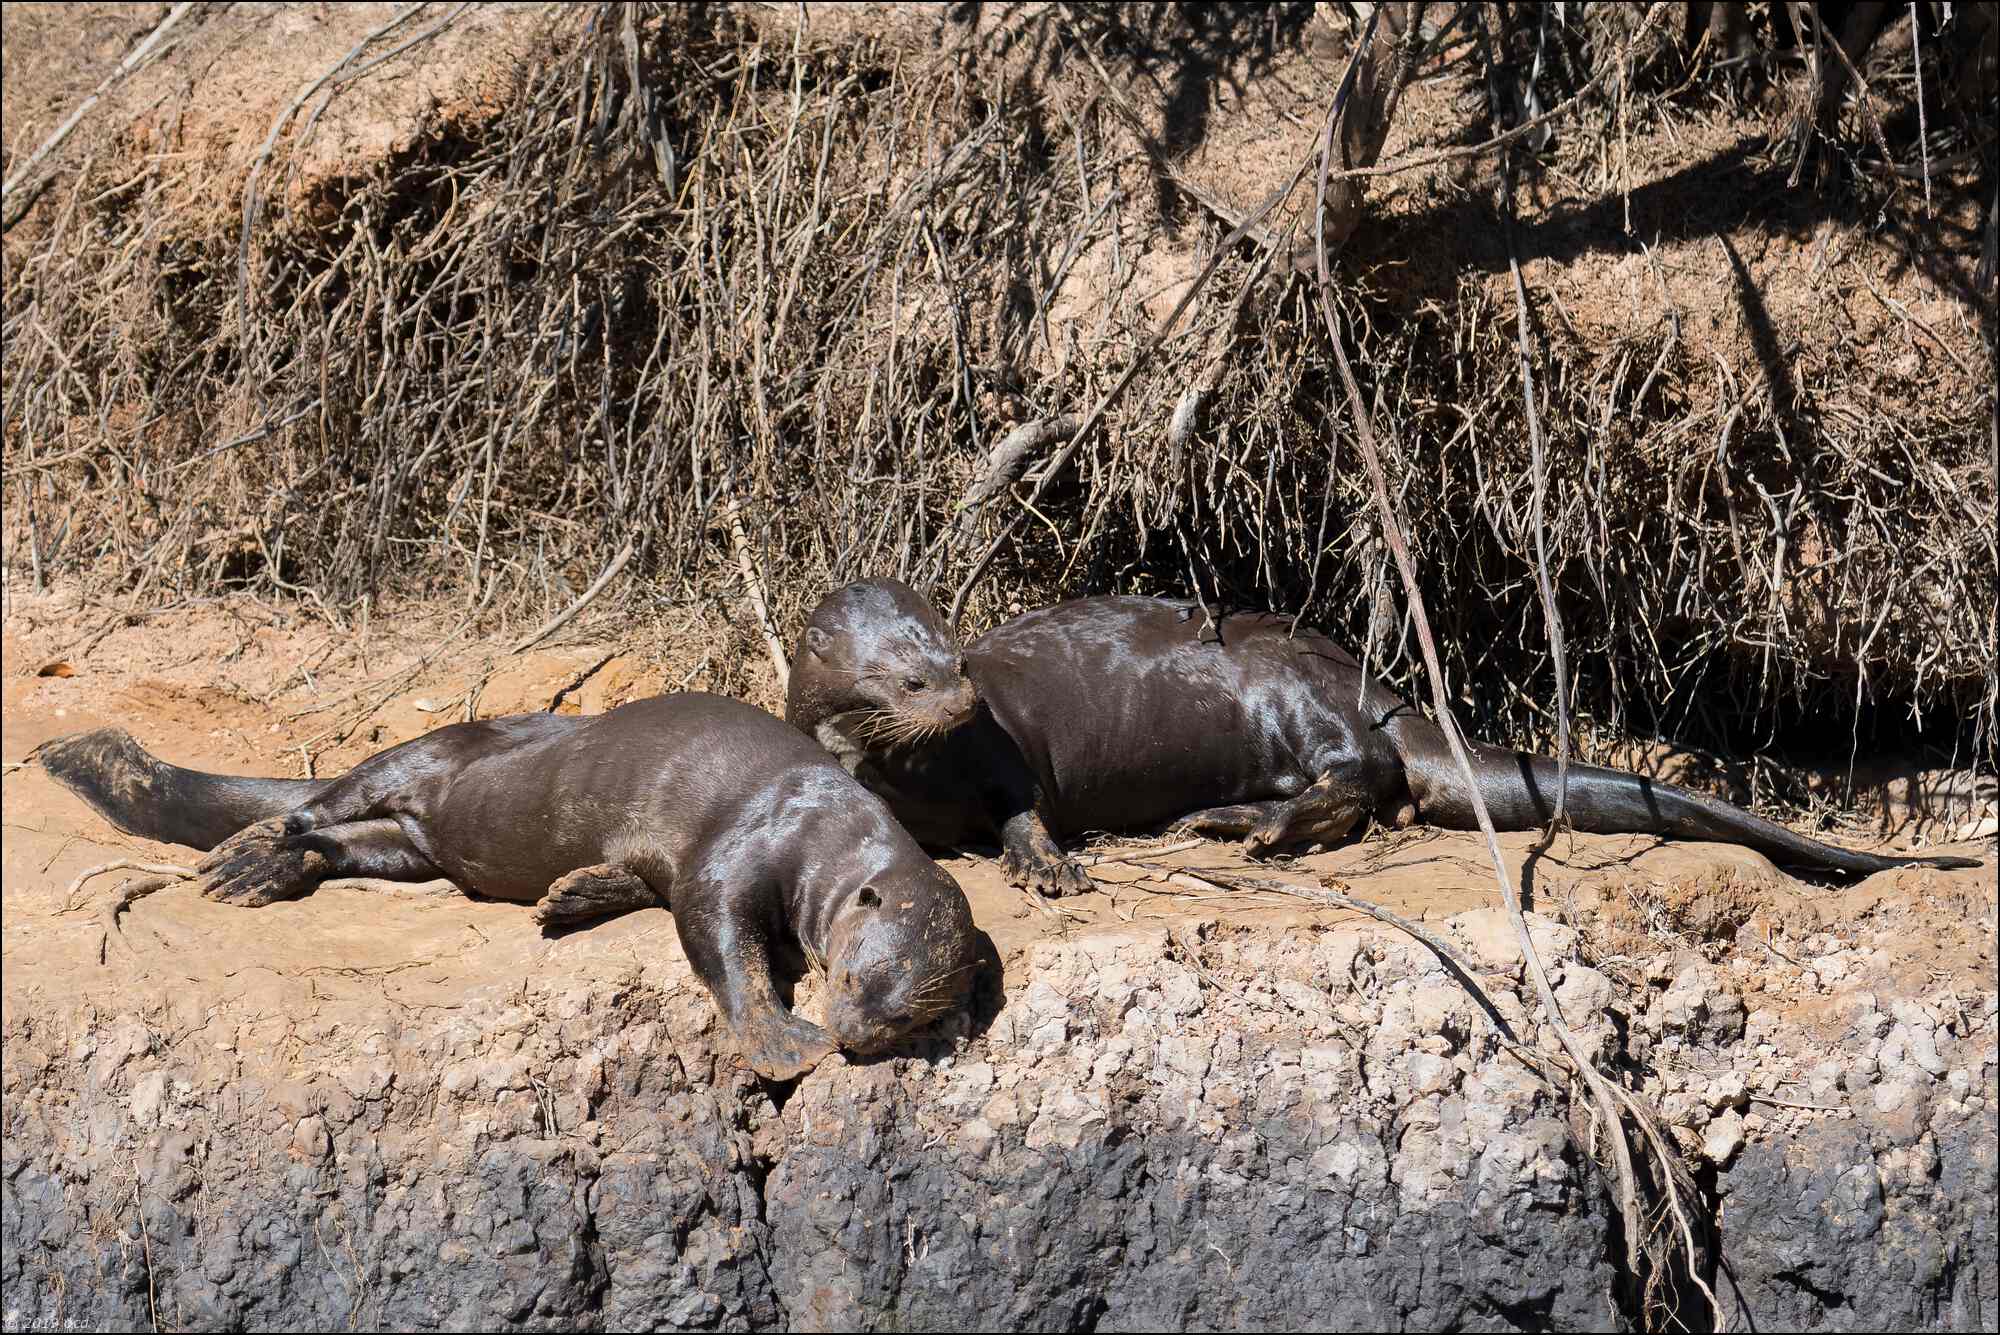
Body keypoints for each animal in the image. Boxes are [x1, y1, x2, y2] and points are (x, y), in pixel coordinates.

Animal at [43, 699, 980, 1087]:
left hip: (414, 847)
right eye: (852, 977)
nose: (853, 1033)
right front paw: (783, 1039)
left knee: (349, 844)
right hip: (427, 750)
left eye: (906, 1014)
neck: (824, 828)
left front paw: (576, 895)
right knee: (330, 796)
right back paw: (254, 847)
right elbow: (719, 930)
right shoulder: (746, 838)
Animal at [784, 579, 1984, 891]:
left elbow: (1024, 804)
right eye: (906, 675)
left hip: (1297, 708)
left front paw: (1044, 864)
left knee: (1360, 787)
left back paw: (1244, 827)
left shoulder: (997, 753)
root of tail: (1384, 689)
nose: (953, 694)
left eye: (952, 661)